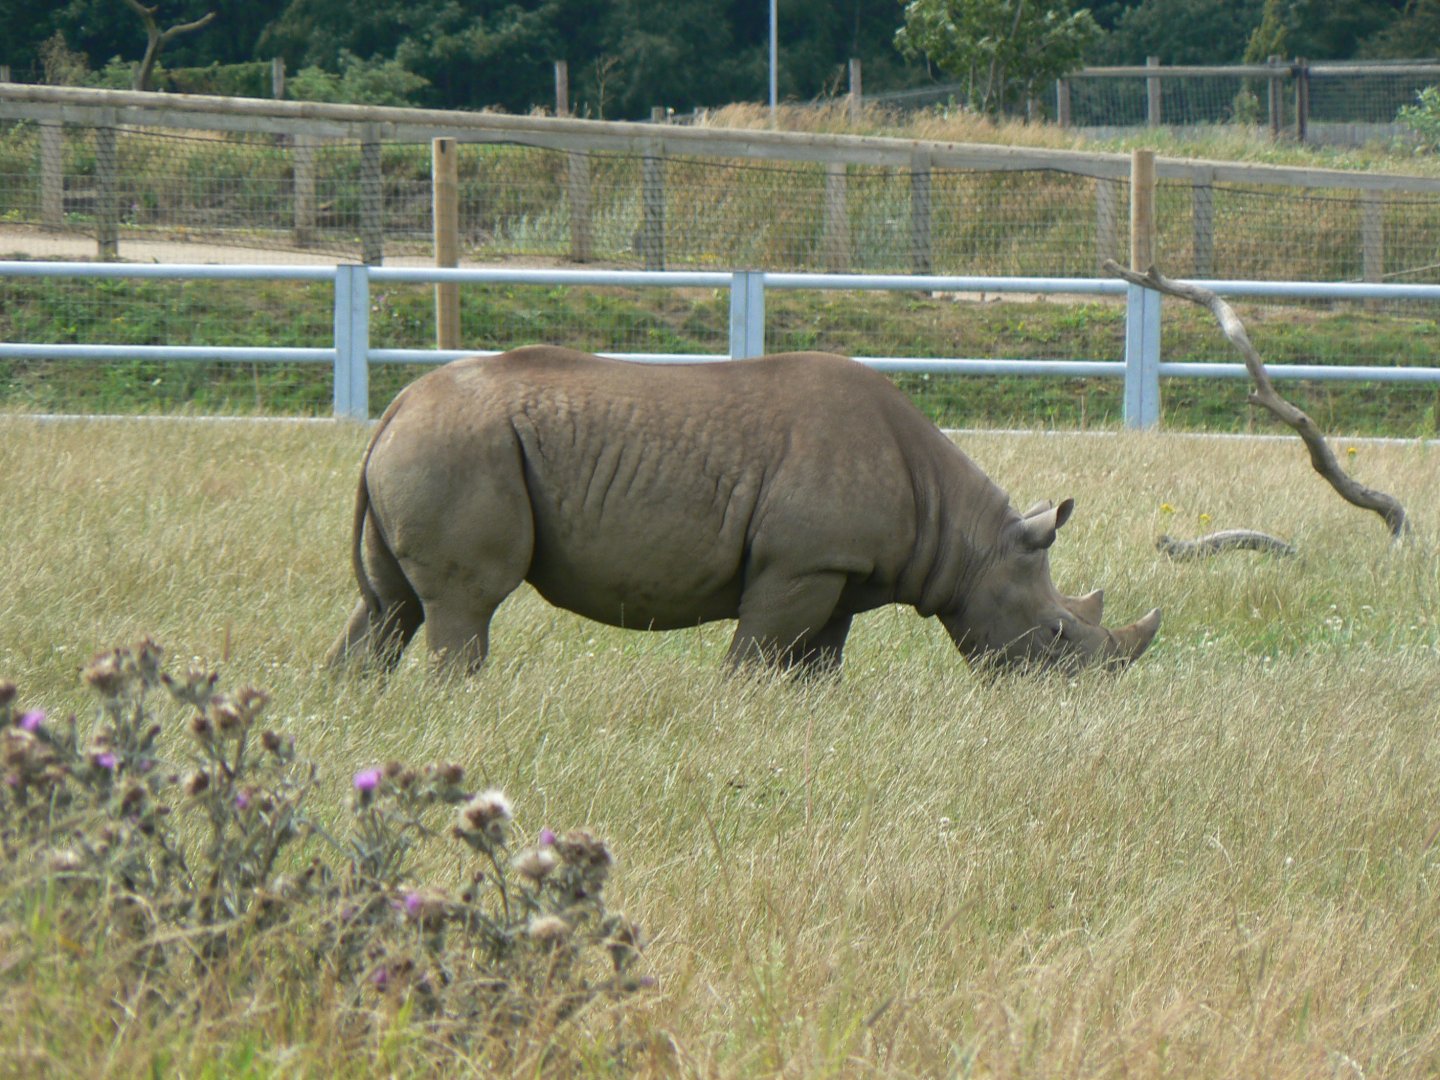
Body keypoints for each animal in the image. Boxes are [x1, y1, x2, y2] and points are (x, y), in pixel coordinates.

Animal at [328, 346, 1160, 676]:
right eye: (1054, 634)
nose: (1077, 698)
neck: (968, 539)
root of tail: (395, 410)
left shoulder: (839, 574)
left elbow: (816, 668)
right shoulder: (799, 565)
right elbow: (754, 660)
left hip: (435, 446)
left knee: (389, 606)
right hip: (462, 447)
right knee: (464, 604)